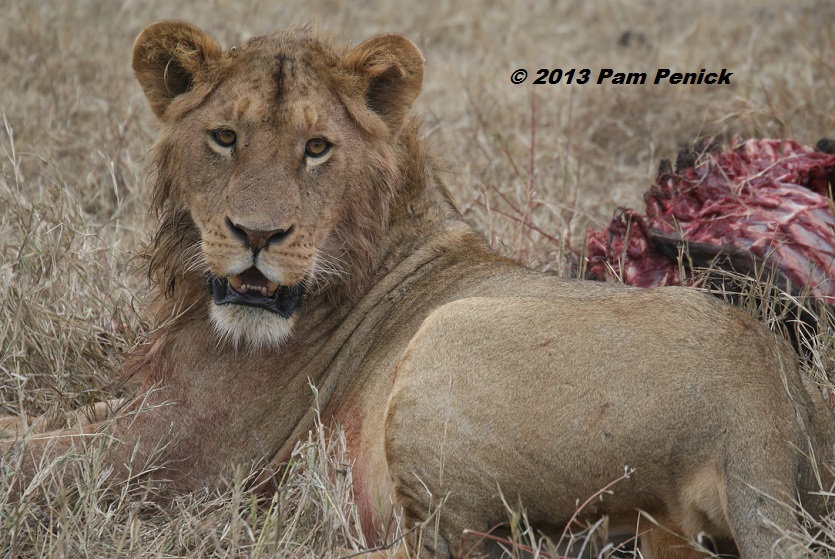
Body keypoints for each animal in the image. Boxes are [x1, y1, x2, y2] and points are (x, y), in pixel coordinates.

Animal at [1, 18, 835, 559]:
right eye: (225, 138)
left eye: (316, 148)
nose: (257, 236)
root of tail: (758, 415)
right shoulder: (139, 402)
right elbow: (30, 426)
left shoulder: (173, 452)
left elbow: (29, 460)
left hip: (448, 338)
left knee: (450, 548)